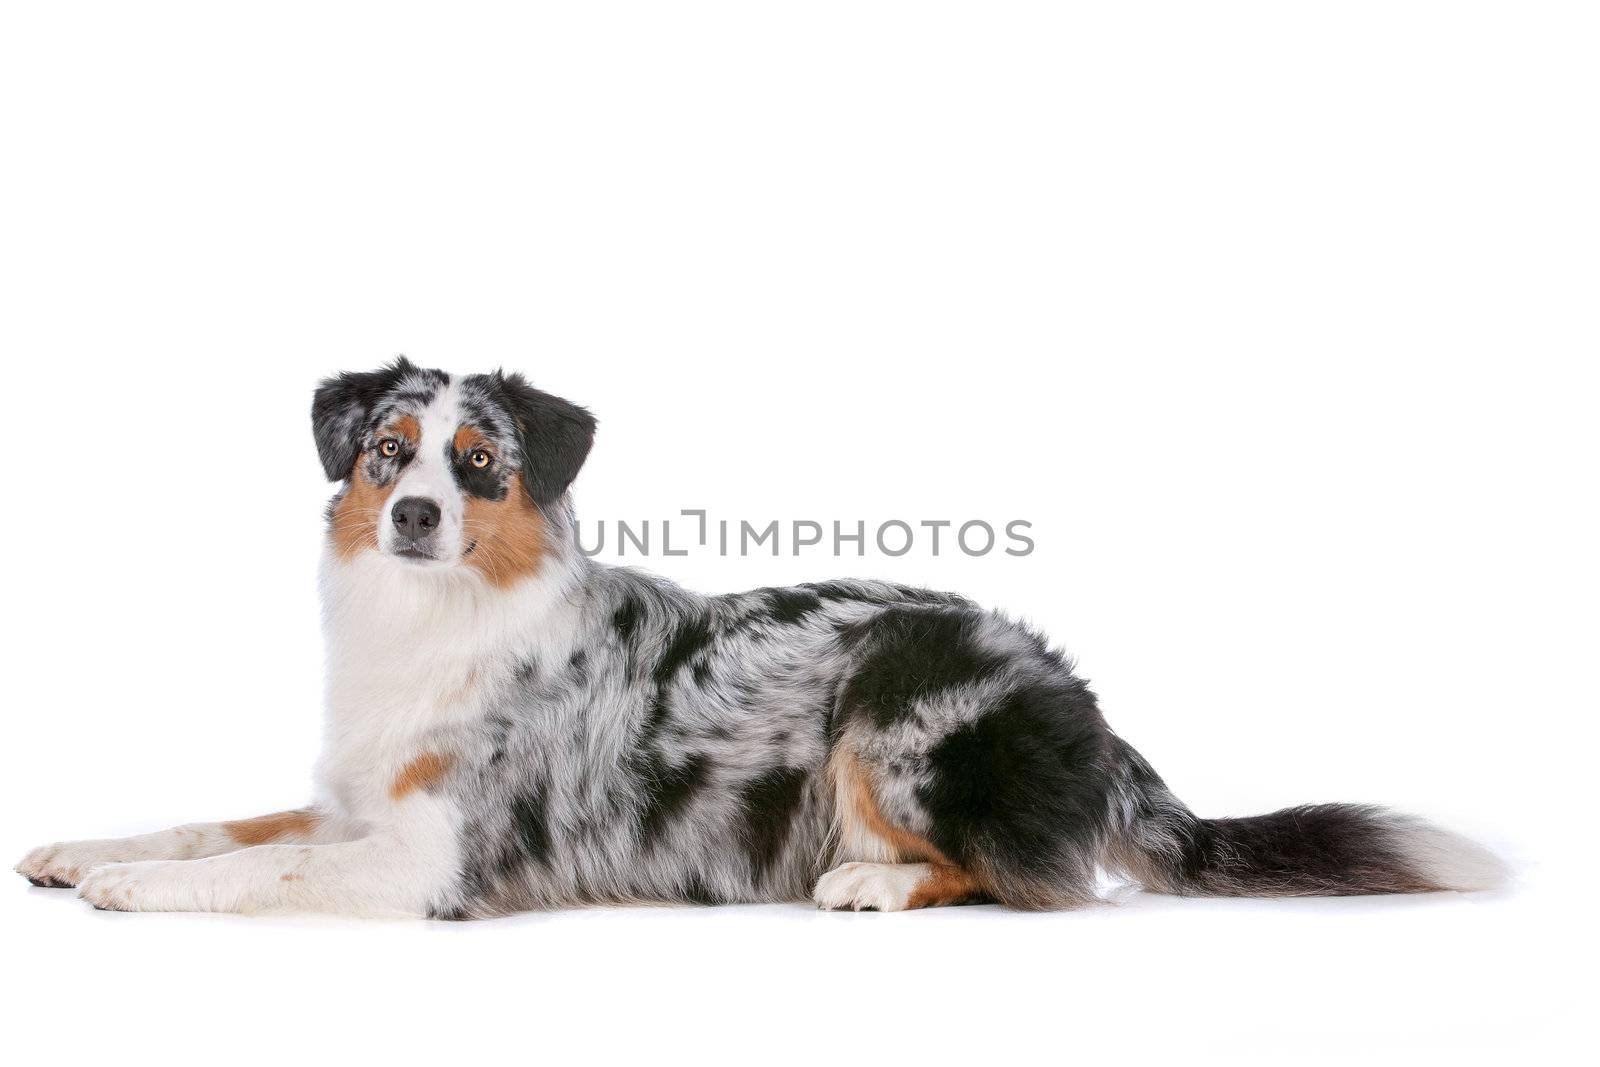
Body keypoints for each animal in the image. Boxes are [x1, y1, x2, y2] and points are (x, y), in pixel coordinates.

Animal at [15, 361, 1497, 921]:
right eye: (388, 451)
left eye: (481, 462)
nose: (416, 513)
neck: (435, 616)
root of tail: (1086, 701)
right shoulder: (355, 799)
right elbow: (214, 823)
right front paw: (84, 848)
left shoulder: (431, 858)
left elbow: (256, 871)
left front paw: (132, 891)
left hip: (894, 705)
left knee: (1033, 877)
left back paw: (874, 883)